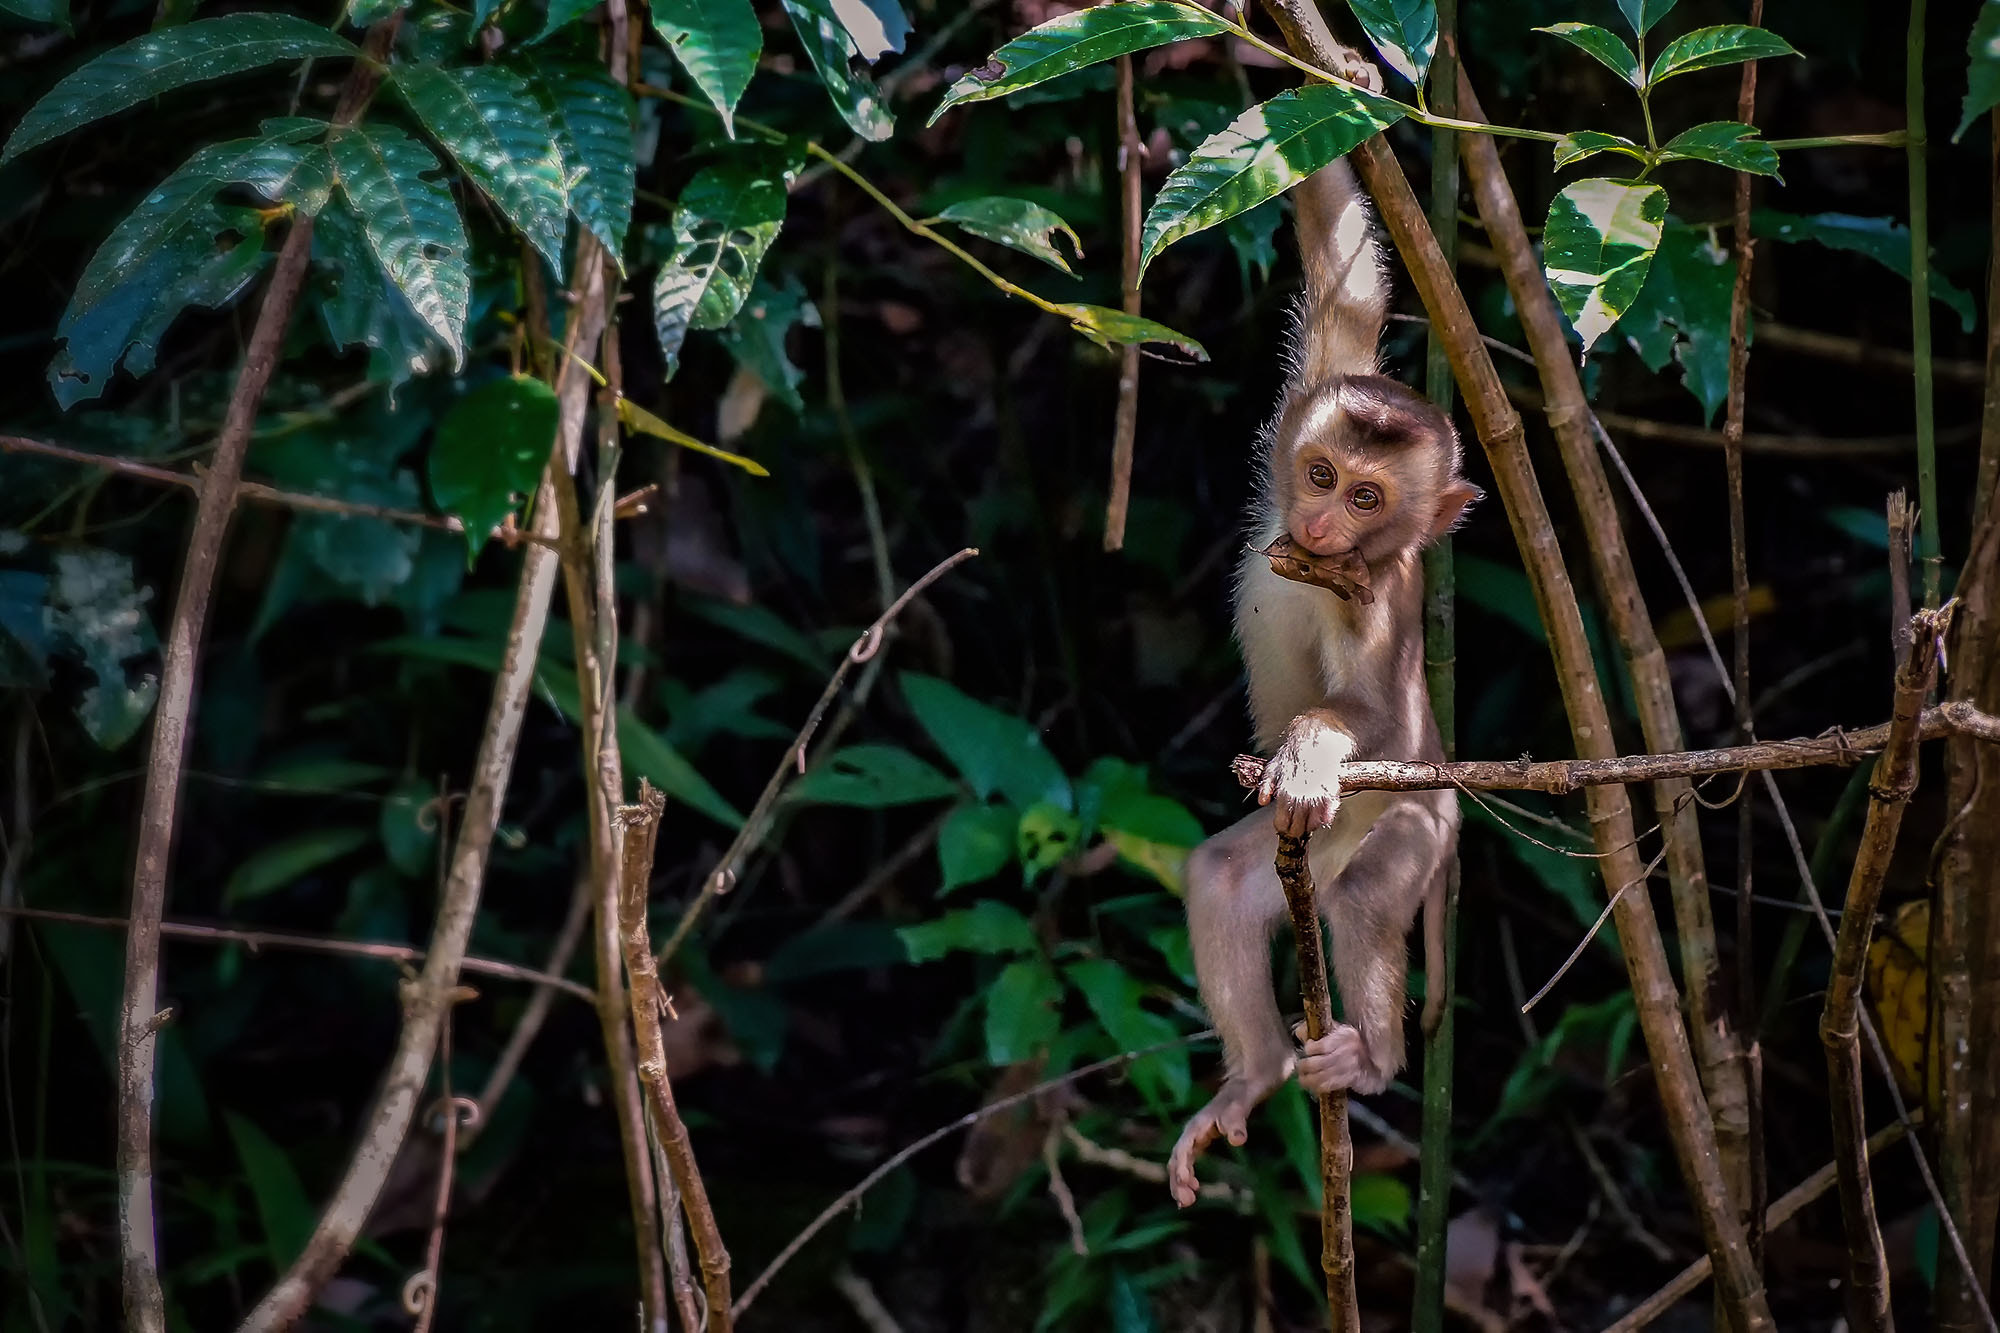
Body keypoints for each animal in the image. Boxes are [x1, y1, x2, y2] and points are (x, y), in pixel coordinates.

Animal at [1166, 158, 1480, 1209]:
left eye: (1368, 498)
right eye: (1320, 472)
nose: (1324, 523)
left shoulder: (1373, 597)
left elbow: (1375, 711)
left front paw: (1308, 749)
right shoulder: (1322, 383)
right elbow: (1349, 282)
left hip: (1415, 827)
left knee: (1365, 900)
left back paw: (1372, 1060)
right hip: (1297, 857)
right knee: (1225, 879)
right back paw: (1256, 1074)